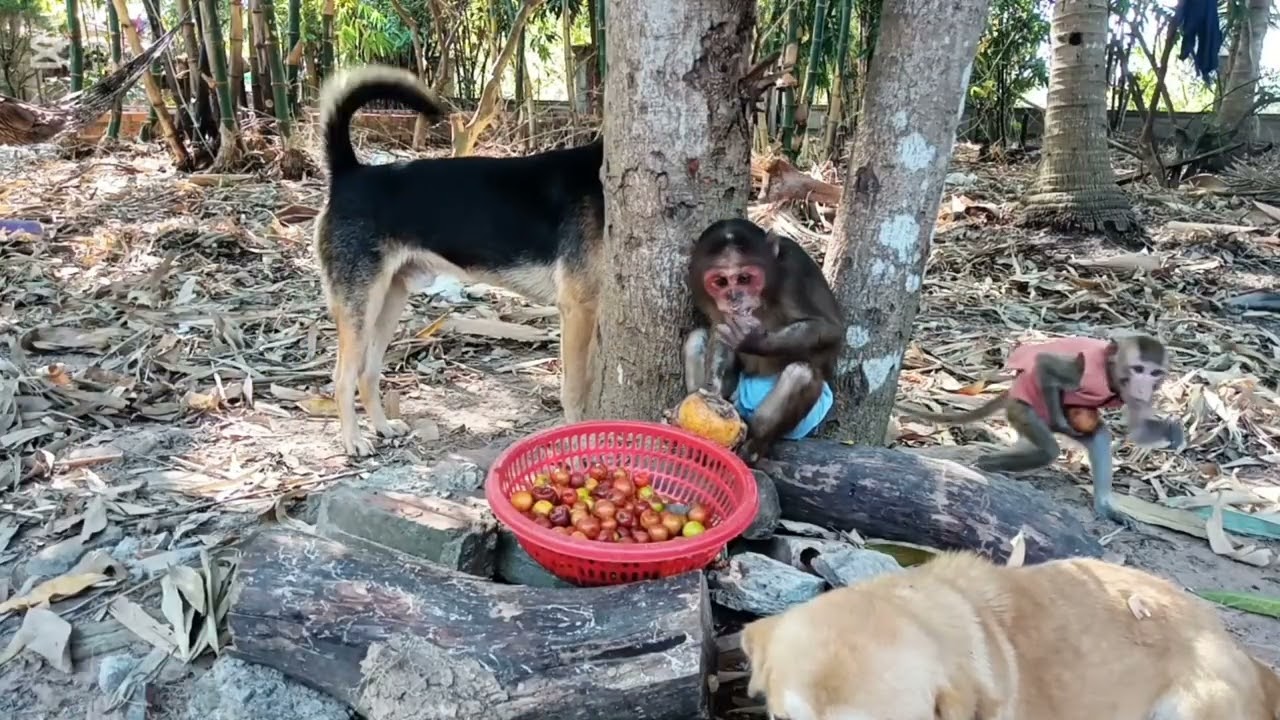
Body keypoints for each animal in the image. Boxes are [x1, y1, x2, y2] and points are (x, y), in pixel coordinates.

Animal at [682, 218, 846, 464]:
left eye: (744, 279)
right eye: (720, 282)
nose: (734, 298)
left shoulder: (796, 269)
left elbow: (830, 330)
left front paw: (752, 339)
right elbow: (718, 331)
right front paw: (713, 395)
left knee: (802, 373)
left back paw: (752, 448)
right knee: (697, 337)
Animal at [896, 334, 1185, 522]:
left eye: (1154, 373)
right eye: (1138, 368)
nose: (1143, 386)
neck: (1112, 375)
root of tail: (1012, 392)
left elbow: (1136, 428)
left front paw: (1174, 433)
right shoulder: (1083, 370)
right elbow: (1046, 365)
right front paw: (1059, 417)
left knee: (1098, 437)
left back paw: (1104, 507)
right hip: (1022, 410)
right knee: (1047, 449)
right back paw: (988, 464)